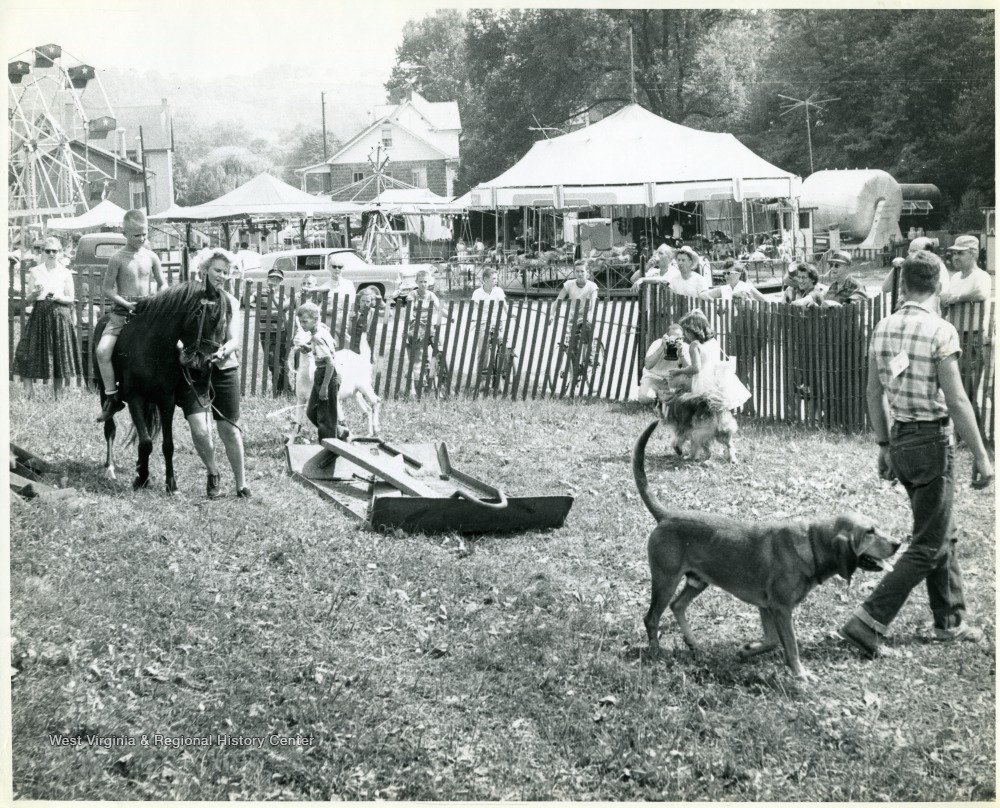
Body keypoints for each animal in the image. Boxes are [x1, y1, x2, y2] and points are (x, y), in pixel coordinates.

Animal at [93, 280, 229, 492]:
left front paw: (170, 483)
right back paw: (110, 468)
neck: (153, 346)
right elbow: (146, 442)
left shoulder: (166, 401)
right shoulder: (135, 398)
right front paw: (141, 478)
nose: (207, 361)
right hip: (103, 390)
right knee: (110, 429)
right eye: (212, 318)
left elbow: (166, 444)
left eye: (224, 321)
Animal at [633, 419, 899, 680]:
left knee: (677, 606)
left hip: (697, 581)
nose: (898, 543)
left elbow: (771, 641)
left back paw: (693, 644)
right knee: (651, 618)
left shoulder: (766, 607)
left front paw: (746, 651)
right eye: (869, 532)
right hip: (665, 580)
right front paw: (801, 675)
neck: (812, 544)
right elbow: (790, 644)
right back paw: (656, 652)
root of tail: (667, 516)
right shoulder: (781, 609)